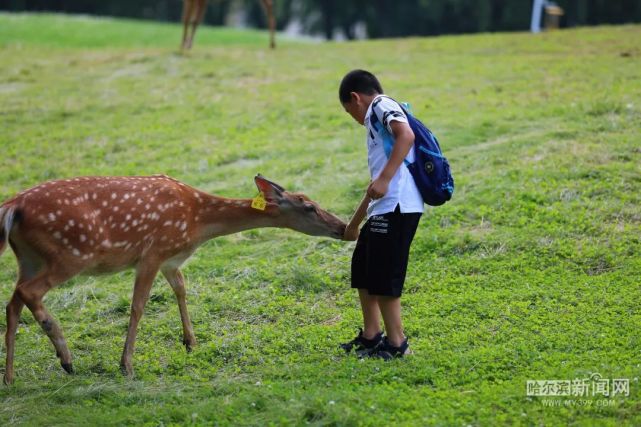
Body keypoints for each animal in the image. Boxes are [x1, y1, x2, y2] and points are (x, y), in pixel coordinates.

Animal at [0, 174, 348, 384]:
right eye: (309, 207)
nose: (343, 227)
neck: (197, 223)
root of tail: (12, 206)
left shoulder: (171, 259)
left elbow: (181, 289)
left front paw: (190, 342)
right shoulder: (153, 252)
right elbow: (138, 306)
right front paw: (126, 365)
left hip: (29, 257)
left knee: (13, 300)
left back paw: (11, 376)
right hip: (71, 253)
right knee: (29, 293)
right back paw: (66, 357)